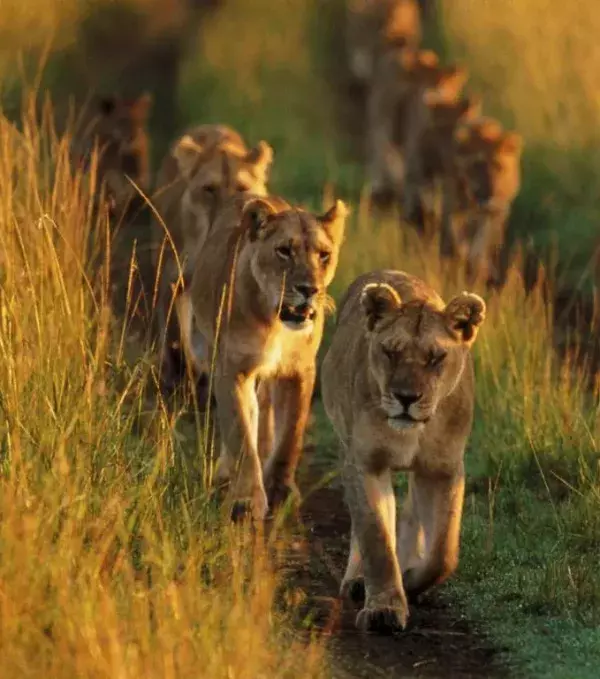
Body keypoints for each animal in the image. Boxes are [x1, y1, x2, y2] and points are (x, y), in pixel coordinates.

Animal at [182, 195, 348, 520]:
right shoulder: (232, 370)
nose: (309, 289)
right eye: (284, 251)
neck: (276, 324)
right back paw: (227, 471)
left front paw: (280, 490)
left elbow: (290, 435)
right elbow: (241, 435)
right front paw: (247, 500)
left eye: (324, 255)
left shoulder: (300, 370)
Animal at [320, 270, 486, 632]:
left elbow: (443, 553)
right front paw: (384, 608)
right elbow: (376, 537)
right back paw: (357, 581)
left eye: (436, 357)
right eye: (390, 352)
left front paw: (411, 579)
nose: (406, 397)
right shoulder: (364, 463)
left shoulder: (442, 469)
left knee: (412, 515)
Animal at [442, 118, 523, 286]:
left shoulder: (495, 213)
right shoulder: (453, 209)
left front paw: (478, 265)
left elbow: (480, 245)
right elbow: (459, 242)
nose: (488, 196)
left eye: (498, 167)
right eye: (477, 165)